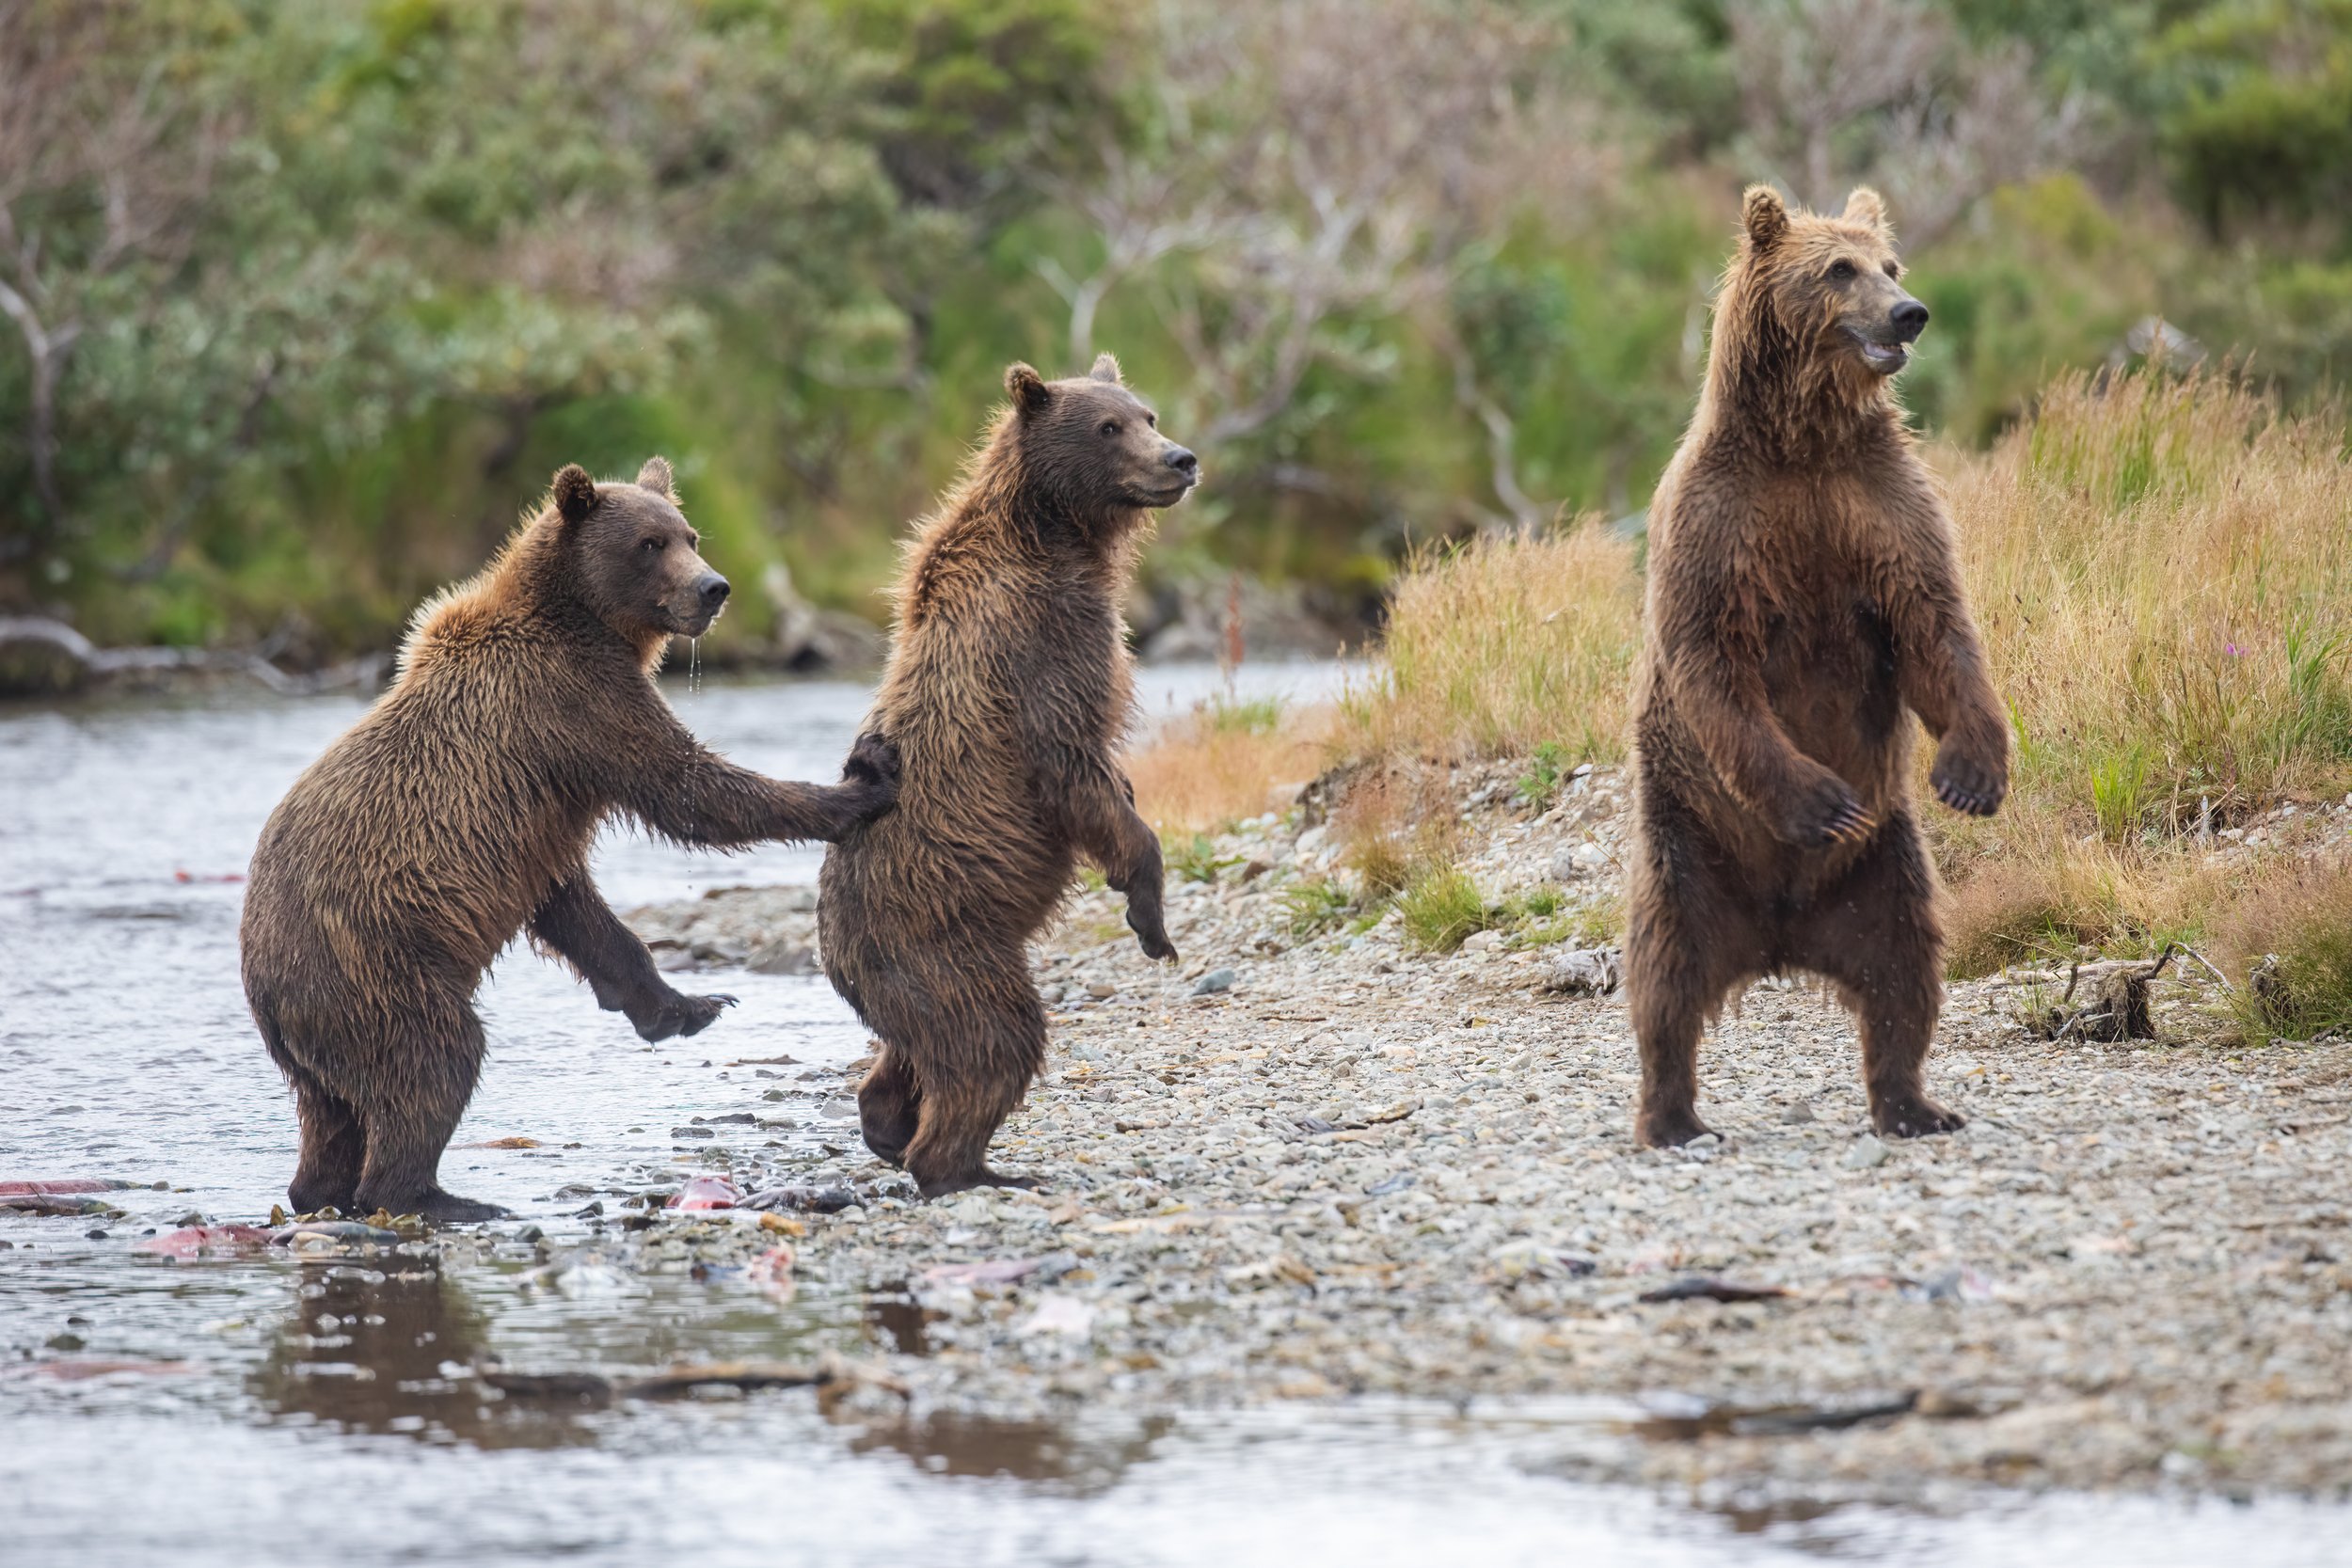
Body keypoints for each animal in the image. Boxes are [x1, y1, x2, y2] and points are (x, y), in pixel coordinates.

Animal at [241, 463, 898, 1222]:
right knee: (435, 1059)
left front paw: (686, 1007)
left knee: (332, 1112)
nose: (714, 587)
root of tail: (264, 985)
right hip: (376, 964)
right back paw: (440, 1196)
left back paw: (320, 1190)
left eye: (690, 534)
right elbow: (690, 790)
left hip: (320, 1028)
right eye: (650, 543)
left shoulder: (540, 817)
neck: (584, 618)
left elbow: (575, 907)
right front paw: (861, 782)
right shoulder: (575, 703)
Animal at [823, 355, 1195, 1194]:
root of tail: (836, 956)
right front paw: (1149, 915)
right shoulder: (1042, 644)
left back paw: (888, 1126)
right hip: (938, 936)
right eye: (1109, 426)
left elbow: (1105, 779)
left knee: (915, 1050)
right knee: (995, 1032)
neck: (1055, 535)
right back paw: (971, 1168)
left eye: (1149, 413)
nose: (1181, 459)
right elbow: (1073, 765)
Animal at [1628, 186, 2013, 1151]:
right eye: (1839, 268)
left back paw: (1915, 1104)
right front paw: (1820, 799)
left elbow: (1937, 631)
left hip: (1884, 867)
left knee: (1906, 968)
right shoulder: (1720, 524)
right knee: (1664, 975)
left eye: (1892, 264)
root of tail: (1776, 940)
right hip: (1688, 844)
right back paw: (1674, 1116)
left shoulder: (1878, 507)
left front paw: (1973, 771)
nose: (1910, 312)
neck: (1803, 439)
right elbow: (1712, 661)